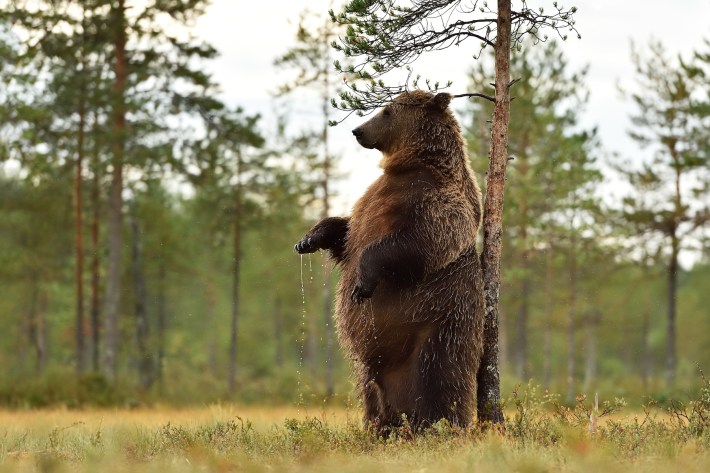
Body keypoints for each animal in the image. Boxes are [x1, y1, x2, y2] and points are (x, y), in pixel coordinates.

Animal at [294, 89, 484, 432]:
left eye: (386, 112)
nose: (357, 130)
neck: (410, 166)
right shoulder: (371, 201)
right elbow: (345, 233)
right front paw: (309, 239)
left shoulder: (438, 202)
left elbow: (418, 240)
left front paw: (362, 284)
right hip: (371, 372)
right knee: (370, 394)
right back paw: (380, 428)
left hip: (438, 328)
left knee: (442, 378)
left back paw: (443, 425)